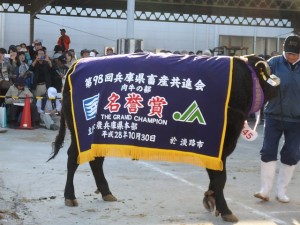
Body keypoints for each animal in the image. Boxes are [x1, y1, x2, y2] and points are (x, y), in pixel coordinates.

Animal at [48, 53, 280, 223]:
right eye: (271, 72)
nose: (280, 85)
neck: (243, 80)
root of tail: (77, 64)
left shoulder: (212, 146)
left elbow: (215, 176)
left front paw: (210, 198)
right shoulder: (220, 143)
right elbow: (219, 177)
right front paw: (225, 210)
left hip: (98, 134)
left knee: (96, 161)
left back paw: (107, 193)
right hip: (80, 132)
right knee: (72, 158)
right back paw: (70, 196)